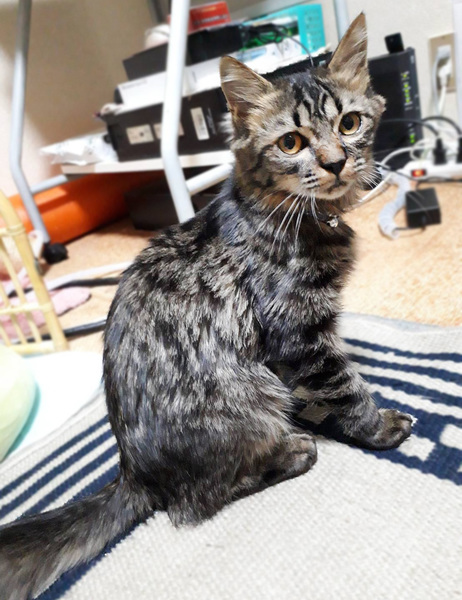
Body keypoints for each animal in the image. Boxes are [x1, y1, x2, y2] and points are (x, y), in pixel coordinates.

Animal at [0, 14, 413, 600]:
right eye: (292, 142)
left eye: (351, 123)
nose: (335, 164)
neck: (292, 212)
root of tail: (133, 472)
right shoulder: (299, 330)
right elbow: (346, 387)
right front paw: (376, 428)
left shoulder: (295, 345)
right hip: (249, 395)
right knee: (194, 501)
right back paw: (293, 450)